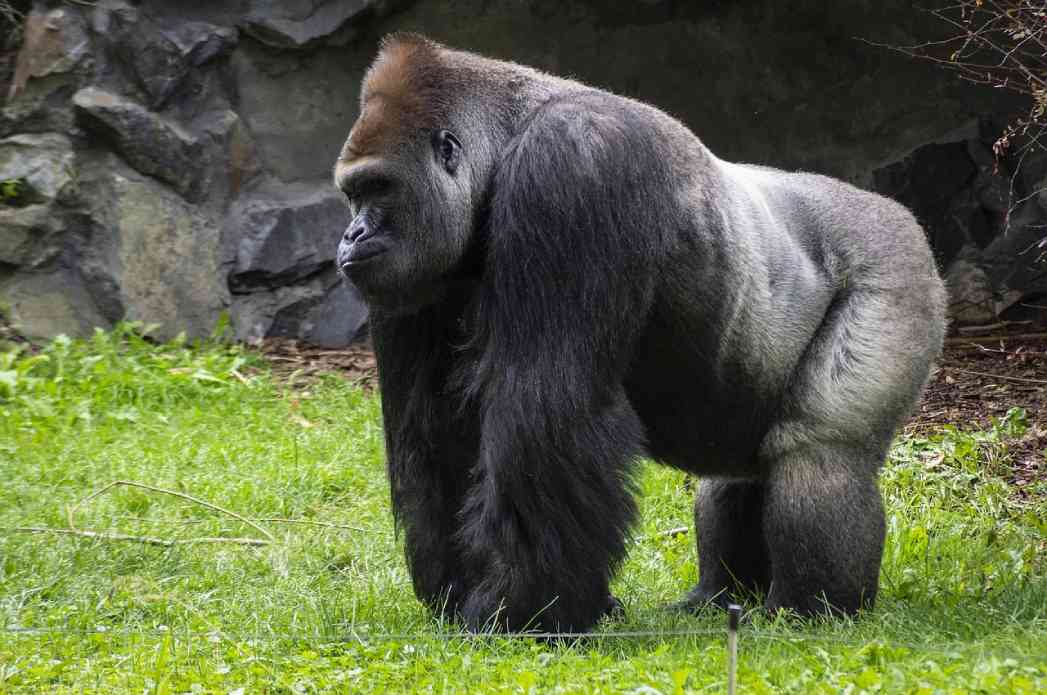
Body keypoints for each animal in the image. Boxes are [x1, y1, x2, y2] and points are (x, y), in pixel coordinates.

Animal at [333, 33, 947, 633]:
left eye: (379, 188)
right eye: (353, 194)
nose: (351, 236)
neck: (505, 139)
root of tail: (902, 217)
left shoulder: (573, 165)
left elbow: (544, 408)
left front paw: (523, 608)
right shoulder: (414, 272)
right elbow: (434, 430)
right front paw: (460, 591)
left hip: (894, 269)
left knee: (818, 455)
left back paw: (810, 611)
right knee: (740, 474)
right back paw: (719, 596)